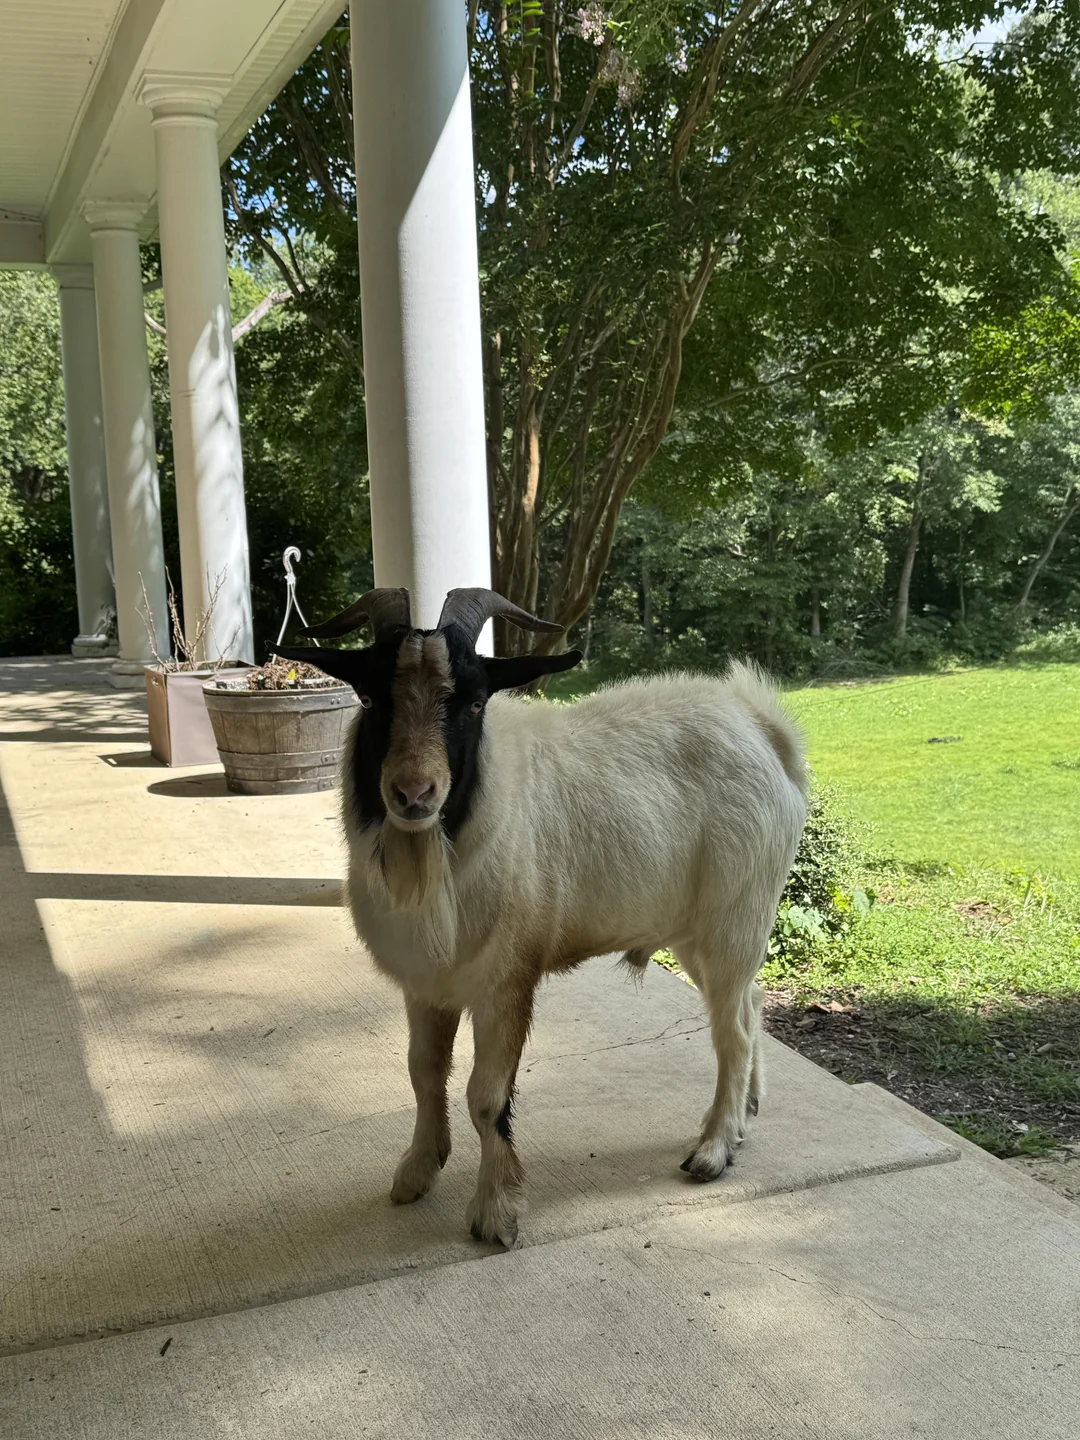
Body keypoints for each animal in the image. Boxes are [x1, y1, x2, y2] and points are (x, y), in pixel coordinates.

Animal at [273, 587, 807, 1247]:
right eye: (370, 698)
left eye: (475, 700)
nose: (413, 794)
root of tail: (761, 726)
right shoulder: (427, 985)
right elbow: (424, 1073)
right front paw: (416, 1173)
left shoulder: (505, 982)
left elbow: (485, 1096)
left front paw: (495, 1213)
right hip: (705, 932)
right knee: (751, 1005)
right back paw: (745, 1118)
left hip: (736, 916)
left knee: (730, 1031)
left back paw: (712, 1150)